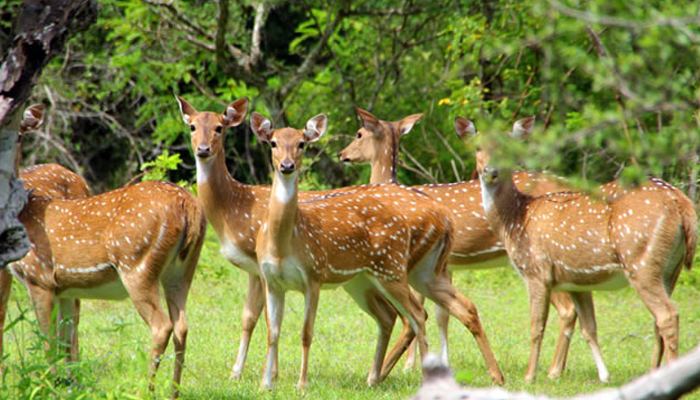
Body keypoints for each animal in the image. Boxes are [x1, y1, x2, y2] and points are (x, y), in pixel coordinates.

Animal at [175, 97, 504, 388]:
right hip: (402, 273)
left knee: (414, 315)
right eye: (192, 126)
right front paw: (258, 376)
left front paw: (250, 374)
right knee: (441, 309)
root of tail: (443, 217)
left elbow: (253, 319)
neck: (233, 209)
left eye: (220, 127)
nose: (202, 150)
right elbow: (258, 321)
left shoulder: (257, 266)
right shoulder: (262, 272)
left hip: (395, 269)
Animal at [336, 108, 576, 380]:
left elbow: (423, 314)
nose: (342, 154)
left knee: (567, 309)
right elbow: (442, 314)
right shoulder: (444, 266)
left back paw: (553, 371)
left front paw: (407, 367)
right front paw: (436, 362)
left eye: (359, 134)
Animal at [470, 115, 696, 382]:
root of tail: (681, 202)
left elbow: (536, 326)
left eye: (507, 147)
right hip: (671, 269)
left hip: (641, 260)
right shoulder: (576, 280)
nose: (491, 171)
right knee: (658, 320)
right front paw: (604, 376)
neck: (515, 219)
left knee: (667, 315)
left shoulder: (536, 271)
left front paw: (529, 377)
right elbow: (589, 328)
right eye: (477, 147)